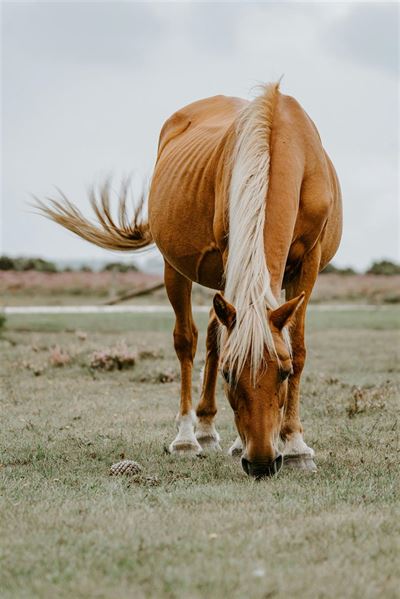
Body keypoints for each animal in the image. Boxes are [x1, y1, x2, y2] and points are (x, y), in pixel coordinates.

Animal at [39, 83, 342, 478]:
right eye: (228, 374)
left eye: (285, 372)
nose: (261, 463)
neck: (280, 142)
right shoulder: (231, 252)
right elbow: (214, 343)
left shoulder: (309, 262)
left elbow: (299, 347)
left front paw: (295, 447)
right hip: (176, 268)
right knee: (189, 340)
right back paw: (190, 436)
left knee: (215, 330)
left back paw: (217, 433)